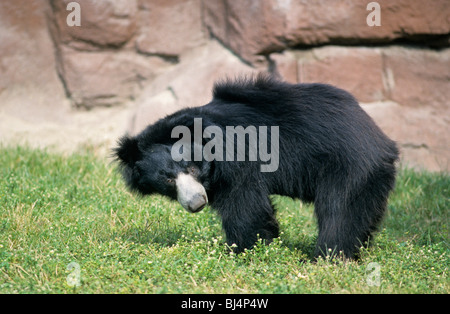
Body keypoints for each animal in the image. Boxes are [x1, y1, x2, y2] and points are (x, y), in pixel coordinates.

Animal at [114, 75, 400, 258]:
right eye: (168, 179)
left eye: (192, 168)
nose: (196, 203)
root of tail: (381, 139)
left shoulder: (240, 157)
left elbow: (245, 204)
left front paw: (243, 251)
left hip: (350, 165)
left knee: (339, 210)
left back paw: (328, 257)